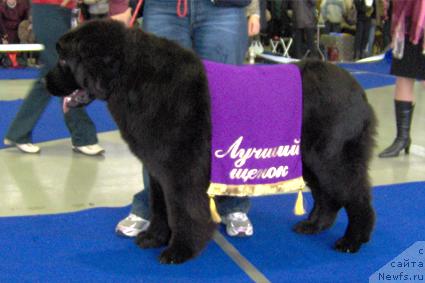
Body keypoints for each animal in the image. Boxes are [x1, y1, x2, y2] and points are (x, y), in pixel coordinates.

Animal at [45, 20, 374, 266]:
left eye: (63, 60)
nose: (45, 82)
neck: (135, 80)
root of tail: (357, 89)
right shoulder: (158, 170)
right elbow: (160, 207)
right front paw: (154, 238)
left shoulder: (180, 172)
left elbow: (182, 211)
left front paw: (180, 250)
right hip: (310, 161)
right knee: (328, 198)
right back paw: (312, 226)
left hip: (332, 159)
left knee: (356, 198)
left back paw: (352, 241)